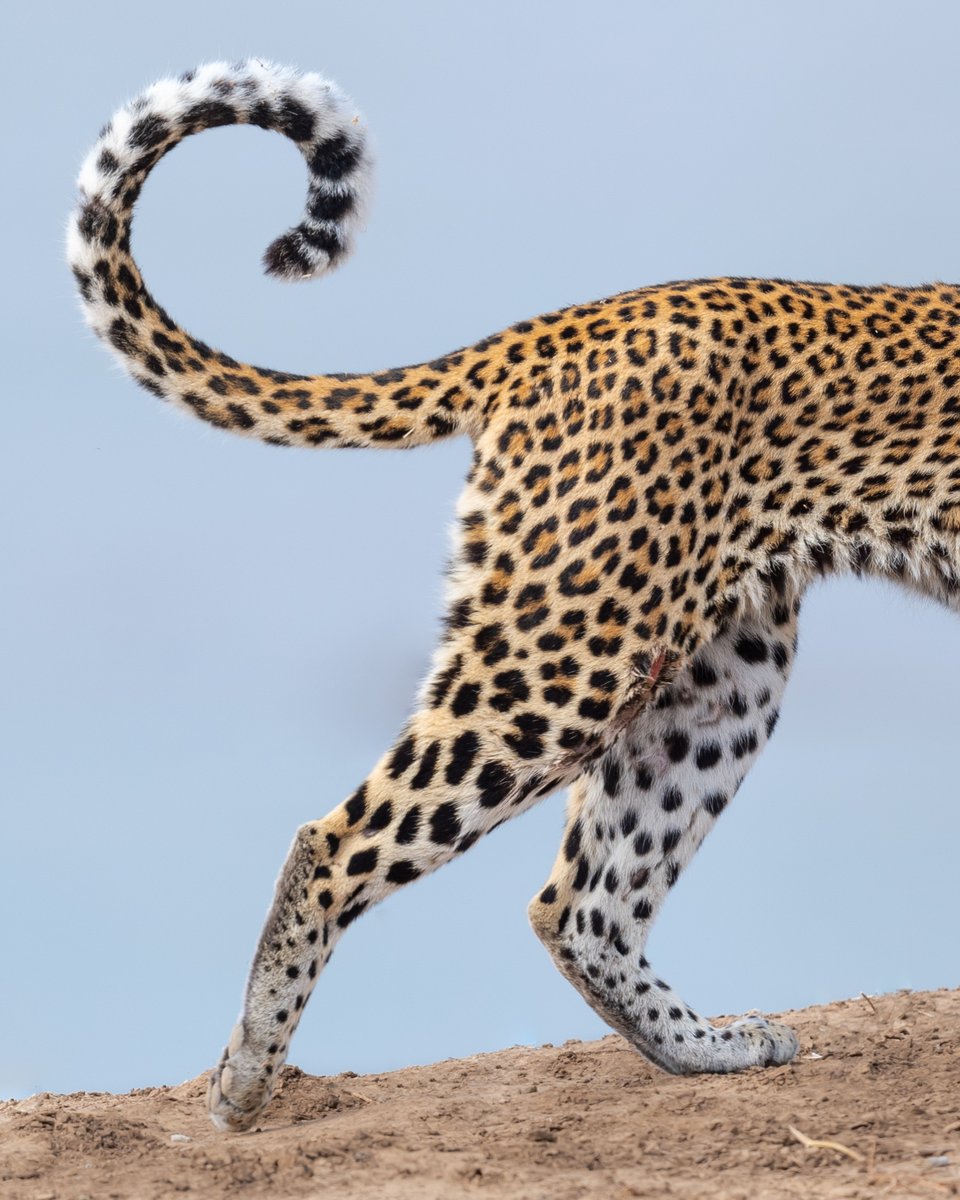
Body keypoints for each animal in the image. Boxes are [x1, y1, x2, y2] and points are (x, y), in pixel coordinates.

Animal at [68, 60, 960, 1133]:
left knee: (581, 904)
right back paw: (244, 1082)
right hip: (565, 656)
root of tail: (548, 331)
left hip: (718, 669)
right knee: (338, 842)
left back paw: (714, 1047)